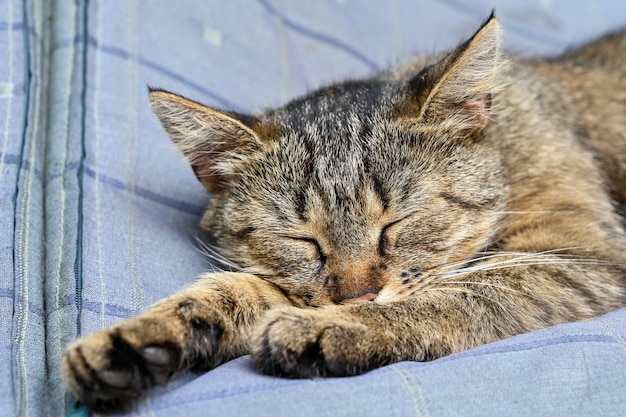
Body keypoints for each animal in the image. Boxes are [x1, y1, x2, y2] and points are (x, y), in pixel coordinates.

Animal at [61, 13, 624, 412]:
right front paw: (134, 341)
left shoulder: (579, 260)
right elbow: (226, 291)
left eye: (397, 223)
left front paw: (341, 327)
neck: (506, 146)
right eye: (303, 241)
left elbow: (455, 295)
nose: (357, 298)